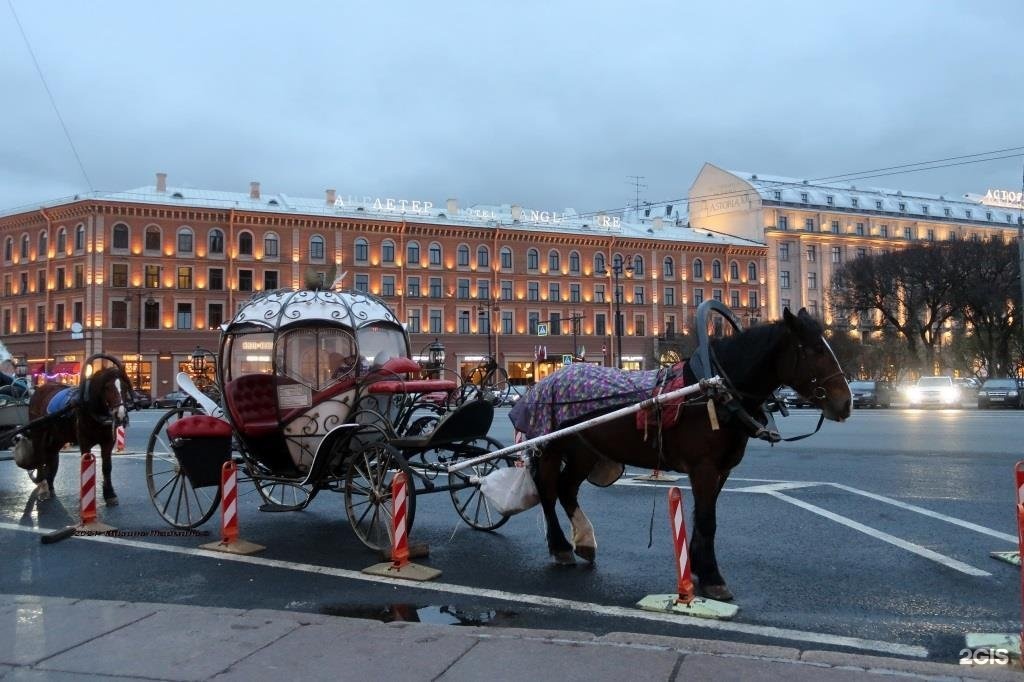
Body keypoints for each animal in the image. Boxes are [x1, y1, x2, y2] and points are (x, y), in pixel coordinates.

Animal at [24, 366, 130, 503]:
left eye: (125, 386)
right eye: (107, 387)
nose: (120, 414)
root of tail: (38, 389)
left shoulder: (108, 442)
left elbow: (107, 467)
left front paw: (110, 494)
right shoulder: (85, 442)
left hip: (57, 437)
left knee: (50, 457)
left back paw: (50, 485)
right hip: (38, 434)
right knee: (40, 458)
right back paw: (43, 488)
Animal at [532, 307, 851, 602]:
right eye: (813, 349)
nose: (845, 403)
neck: (714, 392)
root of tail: (546, 381)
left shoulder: (721, 470)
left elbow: (702, 519)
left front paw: (699, 567)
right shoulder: (704, 468)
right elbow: (708, 520)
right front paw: (713, 578)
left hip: (584, 453)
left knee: (566, 489)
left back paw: (584, 542)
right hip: (550, 450)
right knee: (547, 491)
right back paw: (561, 548)